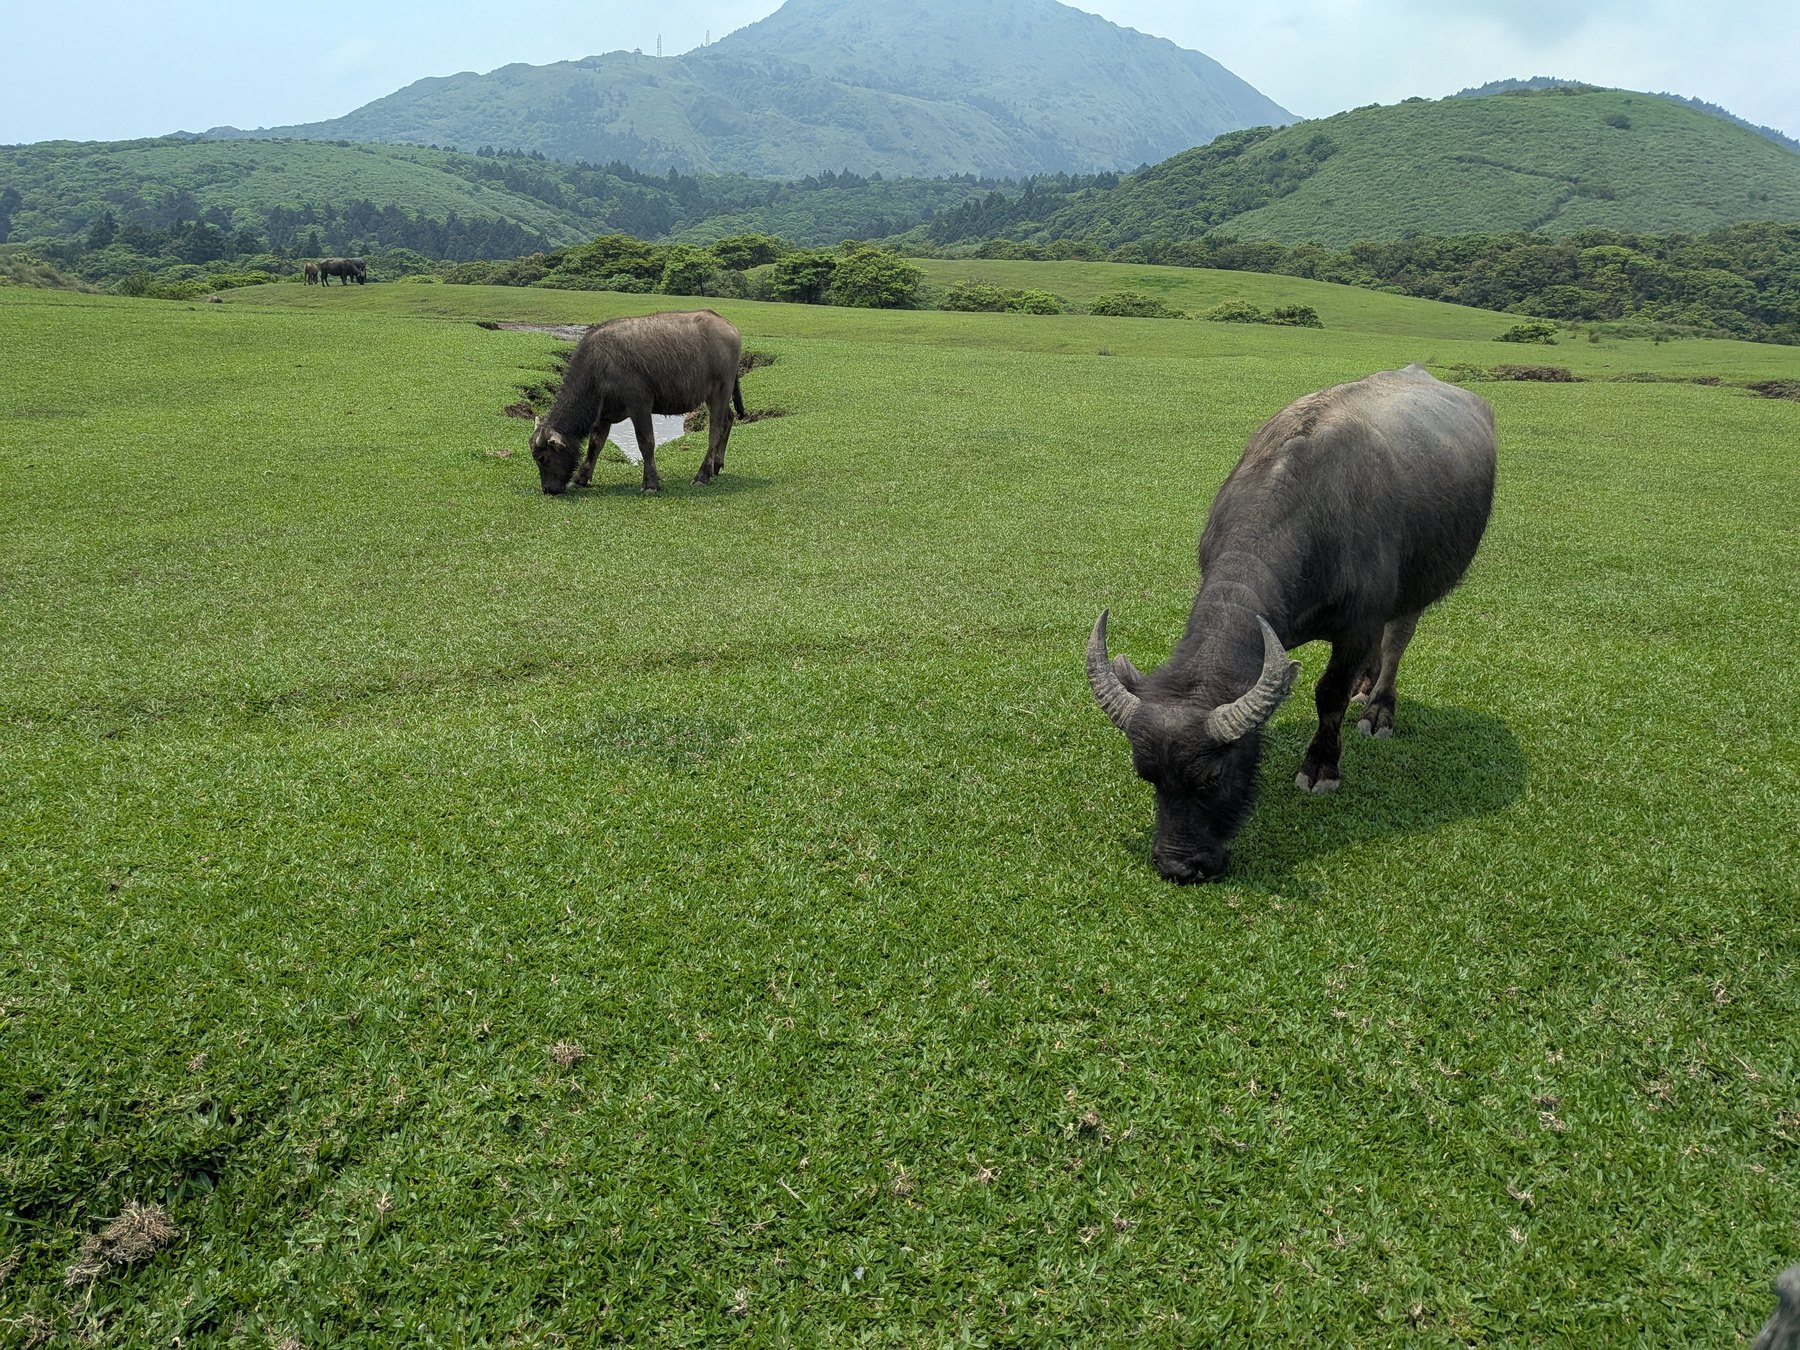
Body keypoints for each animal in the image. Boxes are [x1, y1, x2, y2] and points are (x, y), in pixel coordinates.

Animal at [529, 309, 745, 495]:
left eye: (543, 458)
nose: (548, 489)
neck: (598, 367)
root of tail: (729, 327)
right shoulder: (603, 414)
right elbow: (595, 445)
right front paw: (581, 478)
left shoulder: (640, 406)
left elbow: (646, 443)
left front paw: (650, 483)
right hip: (715, 396)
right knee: (729, 419)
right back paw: (716, 465)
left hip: (721, 390)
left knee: (715, 431)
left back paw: (703, 475)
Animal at [1086, 364, 1497, 882]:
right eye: (1148, 775)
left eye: (1213, 777)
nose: (1177, 866)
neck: (1313, 512)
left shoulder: (1359, 623)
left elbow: (1330, 694)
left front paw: (1322, 766)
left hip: (1419, 583)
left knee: (1397, 639)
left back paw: (1378, 708)